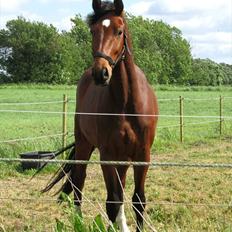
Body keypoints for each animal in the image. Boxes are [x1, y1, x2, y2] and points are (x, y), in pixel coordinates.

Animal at [44, 0, 158, 231]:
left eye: (119, 31)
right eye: (93, 31)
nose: (101, 73)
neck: (127, 103)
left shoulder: (143, 156)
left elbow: (138, 200)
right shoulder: (107, 155)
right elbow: (112, 201)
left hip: (123, 158)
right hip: (84, 145)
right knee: (79, 181)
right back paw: (77, 221)